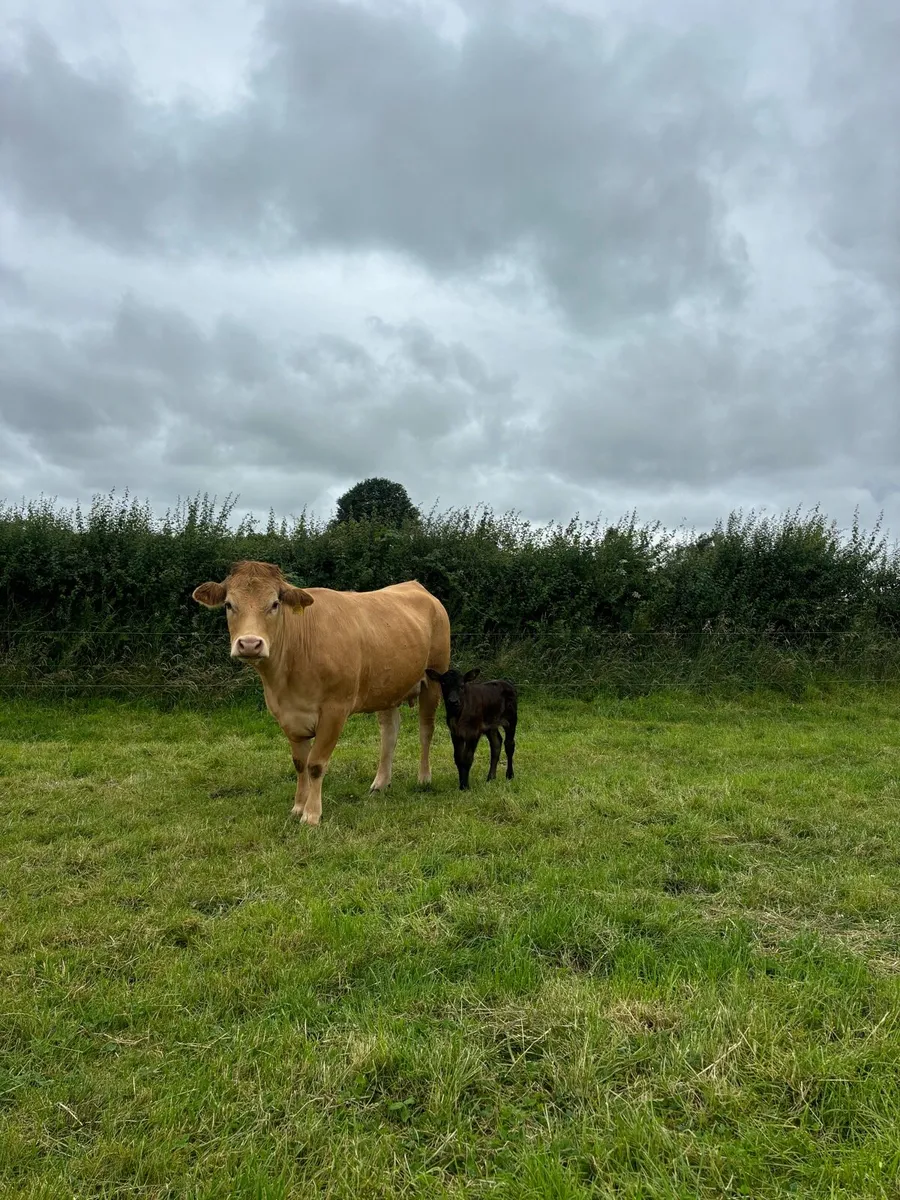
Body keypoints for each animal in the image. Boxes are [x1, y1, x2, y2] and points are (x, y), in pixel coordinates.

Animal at [192, 561, 451, 826]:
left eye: (275, 604)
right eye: (228, 605)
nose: (250, 644)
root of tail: (417, 587)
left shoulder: (335, 711)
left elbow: (315, 764)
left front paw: (311, 814)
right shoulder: (287, 714)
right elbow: (300, 763)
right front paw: (298, 806)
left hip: (434, 678)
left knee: (426, 729)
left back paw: (424, 778)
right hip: (387, 686)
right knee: (389, 731)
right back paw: (380, 783)